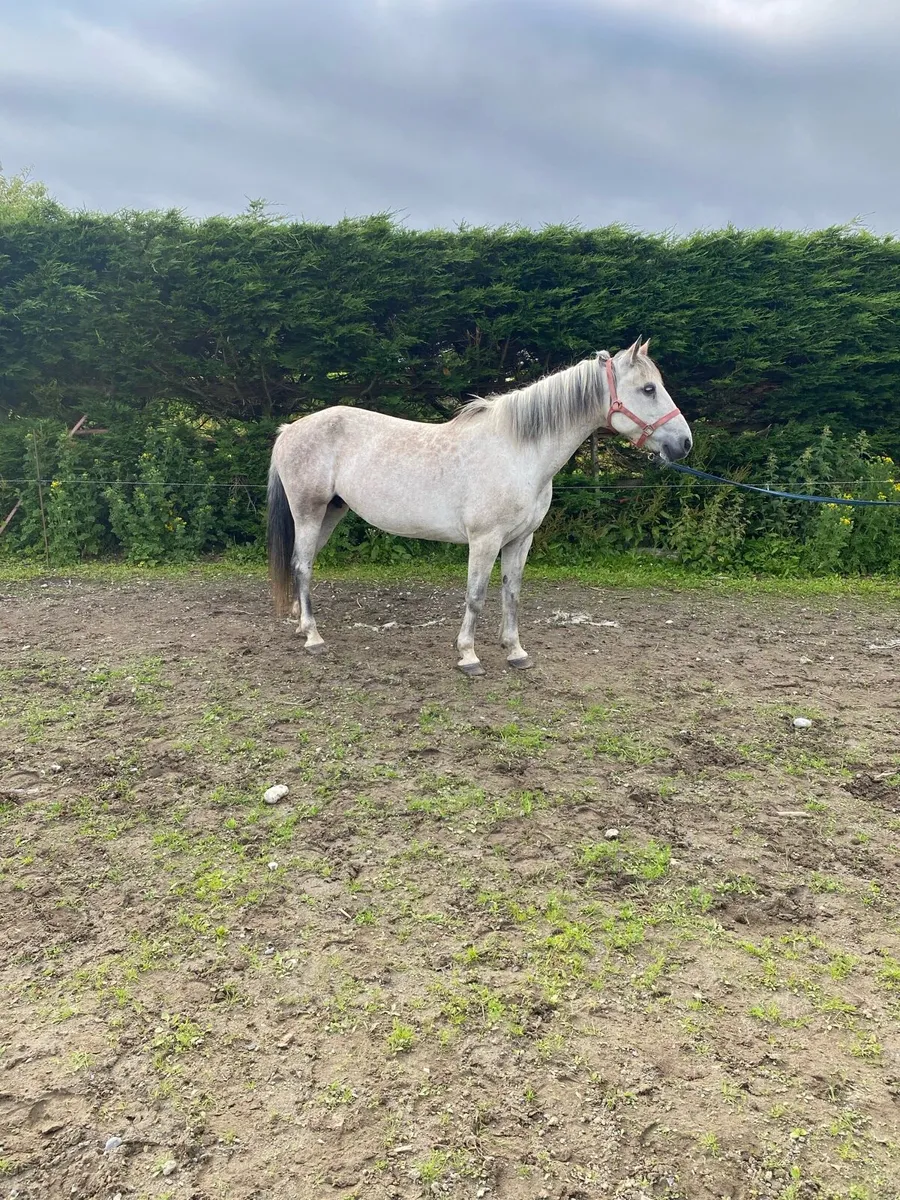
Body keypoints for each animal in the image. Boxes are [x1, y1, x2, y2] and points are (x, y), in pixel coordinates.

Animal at [267, 337, 693, 675]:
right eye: (649, 389)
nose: (684, 443)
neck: (518, 451)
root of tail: (290, 429)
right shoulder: (485, 540)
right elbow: (476, 595)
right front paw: (468, 656)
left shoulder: (521, 540)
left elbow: (512, 593)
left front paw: (516, 651)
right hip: (309, 512)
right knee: (302, 566)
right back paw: (314, 638)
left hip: (330, 513)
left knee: (302, 564)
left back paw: (302, 626)